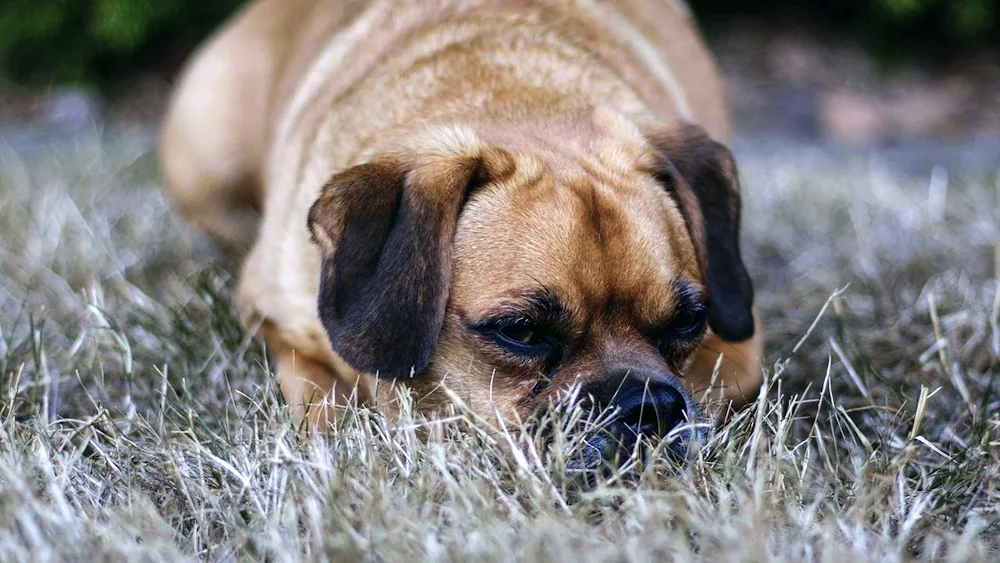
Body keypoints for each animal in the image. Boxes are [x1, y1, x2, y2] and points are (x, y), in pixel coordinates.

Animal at [160, 0, 760, 460]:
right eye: (520, 331)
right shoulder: (275, 320)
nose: (648, 408)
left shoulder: (736, 357)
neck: (517, 99)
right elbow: (323, 401)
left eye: (689, 321)